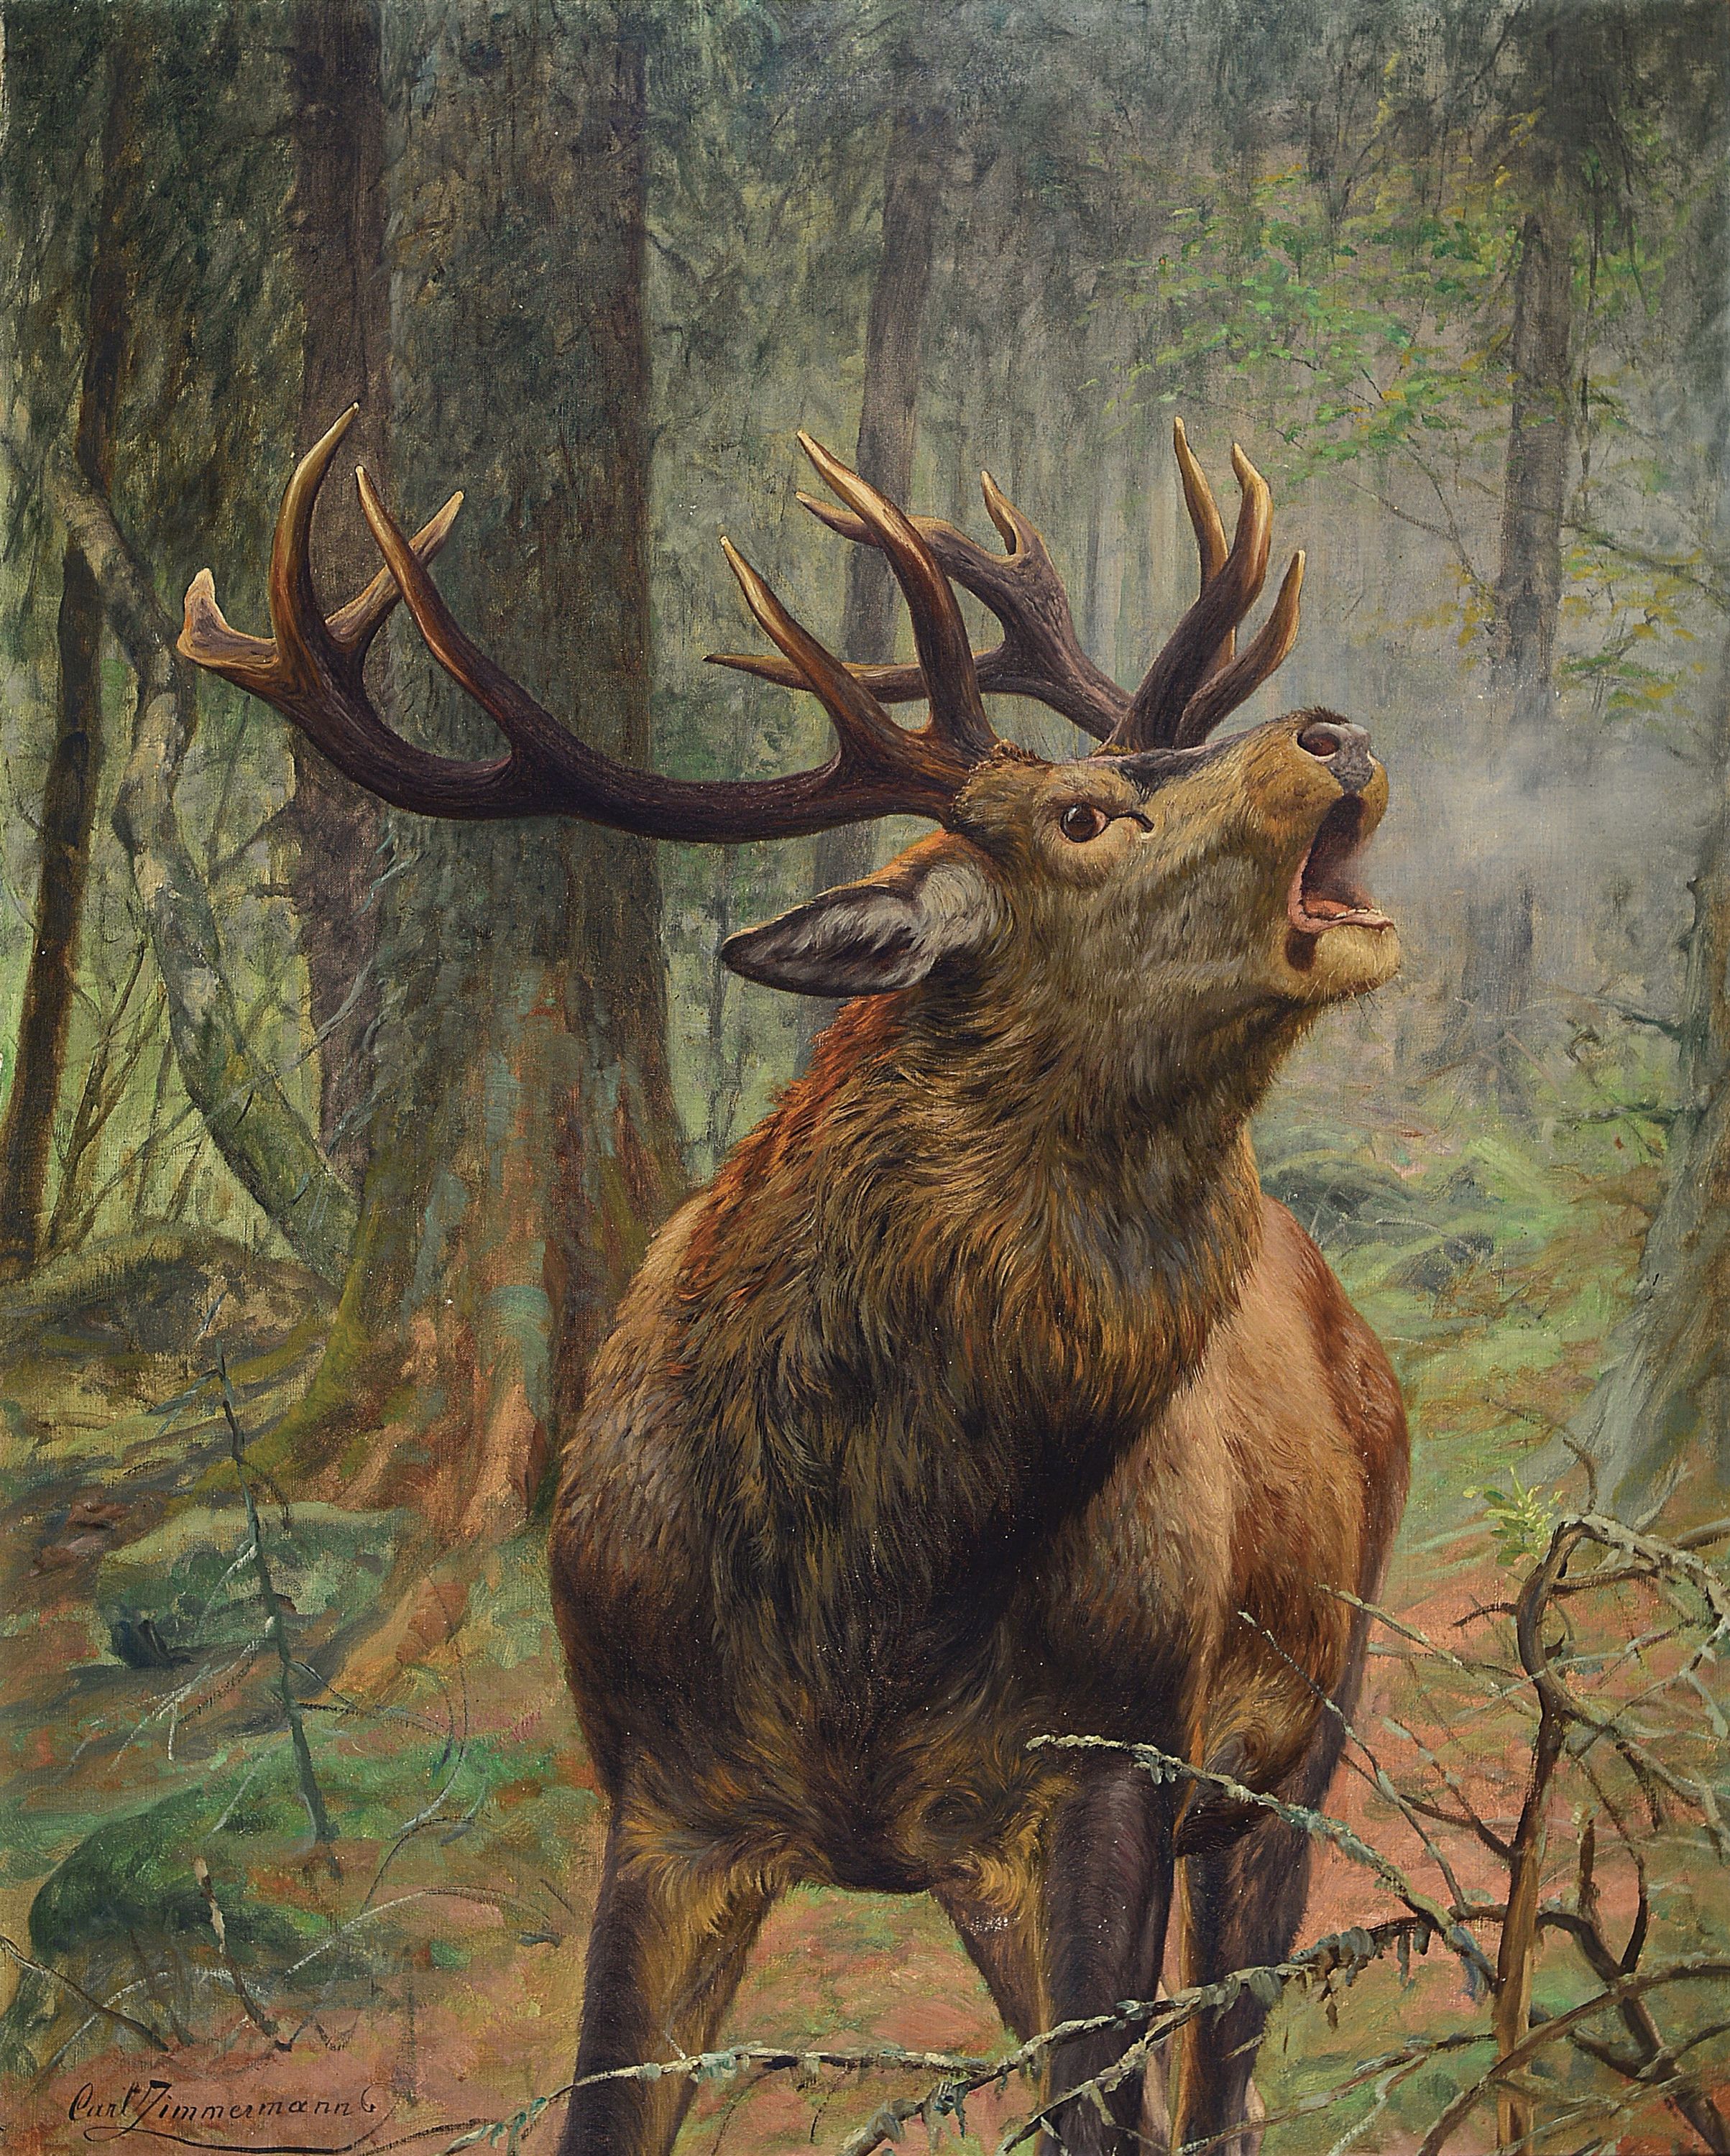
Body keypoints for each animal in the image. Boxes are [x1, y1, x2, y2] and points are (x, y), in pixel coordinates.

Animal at [181, 406, 1408, 2156]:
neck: (871, 1590)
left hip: (1309, 1723)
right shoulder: (665, 1798)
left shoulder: (1112, 1761)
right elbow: (602, 2107)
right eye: (1079, 817)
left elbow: (1112, 2109)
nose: (1334, 732)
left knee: (1220, 2087)